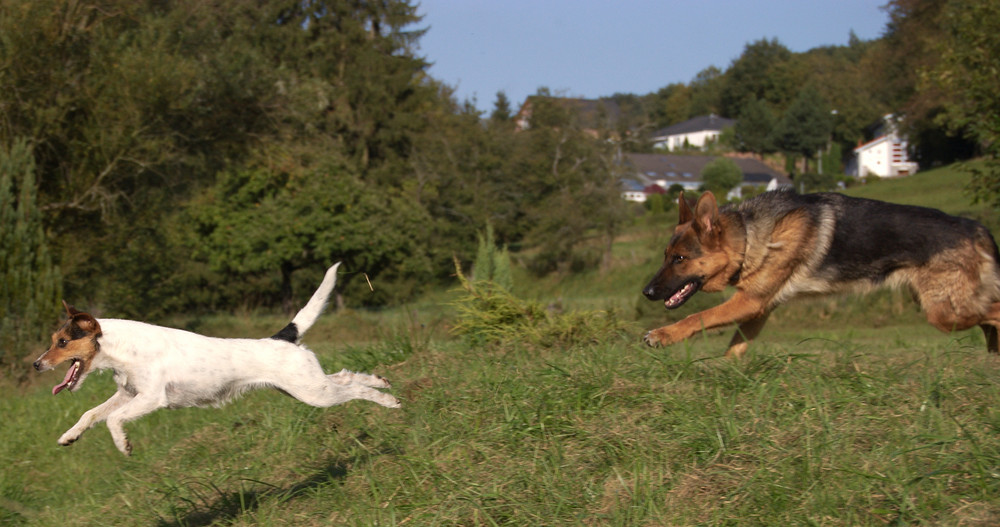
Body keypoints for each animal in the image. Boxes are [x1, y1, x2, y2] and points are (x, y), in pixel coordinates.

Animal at [32, 264, 398, 458]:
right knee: (347, 376)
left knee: (354, 391)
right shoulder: (128, 394)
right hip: (306, 386)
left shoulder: (151, 398)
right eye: (53, 341)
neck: (124, 349)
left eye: (62, 342)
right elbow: (91, 414)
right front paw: (70, 436)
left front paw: (123, 445)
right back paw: (380, 381)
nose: (36, 364)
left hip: (314, 393)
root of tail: (281, 337)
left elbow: (112, 420)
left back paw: (387, 400)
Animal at [640, 191, 1000, 358]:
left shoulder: (749, 302)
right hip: (947, 309)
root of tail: (976, 227)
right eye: (665, 256)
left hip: (945, 312)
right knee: (989, 321)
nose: (647, 293)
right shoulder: (759, 307)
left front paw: (662, 334)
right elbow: (735, 347)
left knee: (994, 313)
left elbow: (697, 317)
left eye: (680, 259)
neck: (750, 237)